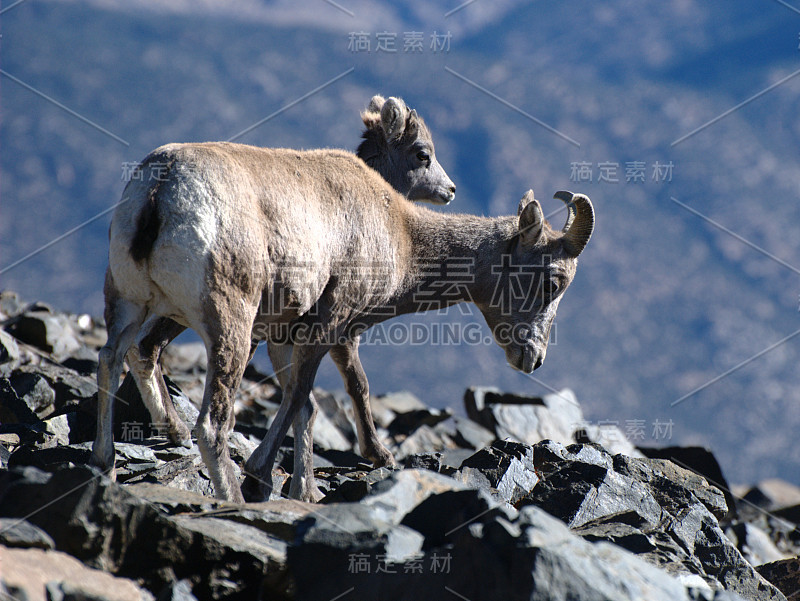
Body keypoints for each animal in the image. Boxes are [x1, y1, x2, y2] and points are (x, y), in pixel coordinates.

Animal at [94, 141, 592, 502]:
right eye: (553, 280)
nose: (534, 359)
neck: (400, 233)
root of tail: (161, 192)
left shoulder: (283, 335)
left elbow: (305, 405)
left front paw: (304, 490)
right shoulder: (327, 326)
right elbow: (303, 396)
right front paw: (265, 475)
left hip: (130, 304)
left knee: (114, 358)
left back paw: (108, 465)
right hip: (228, 326)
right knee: (213, 423)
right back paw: (231, 494)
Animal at [106, 95, 456, 474]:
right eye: (422, 154)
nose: (451, 190)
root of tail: (160, 189)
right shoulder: (339, 327)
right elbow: (356, 383)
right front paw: (379, 454)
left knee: (142, 348)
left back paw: (175, 431)